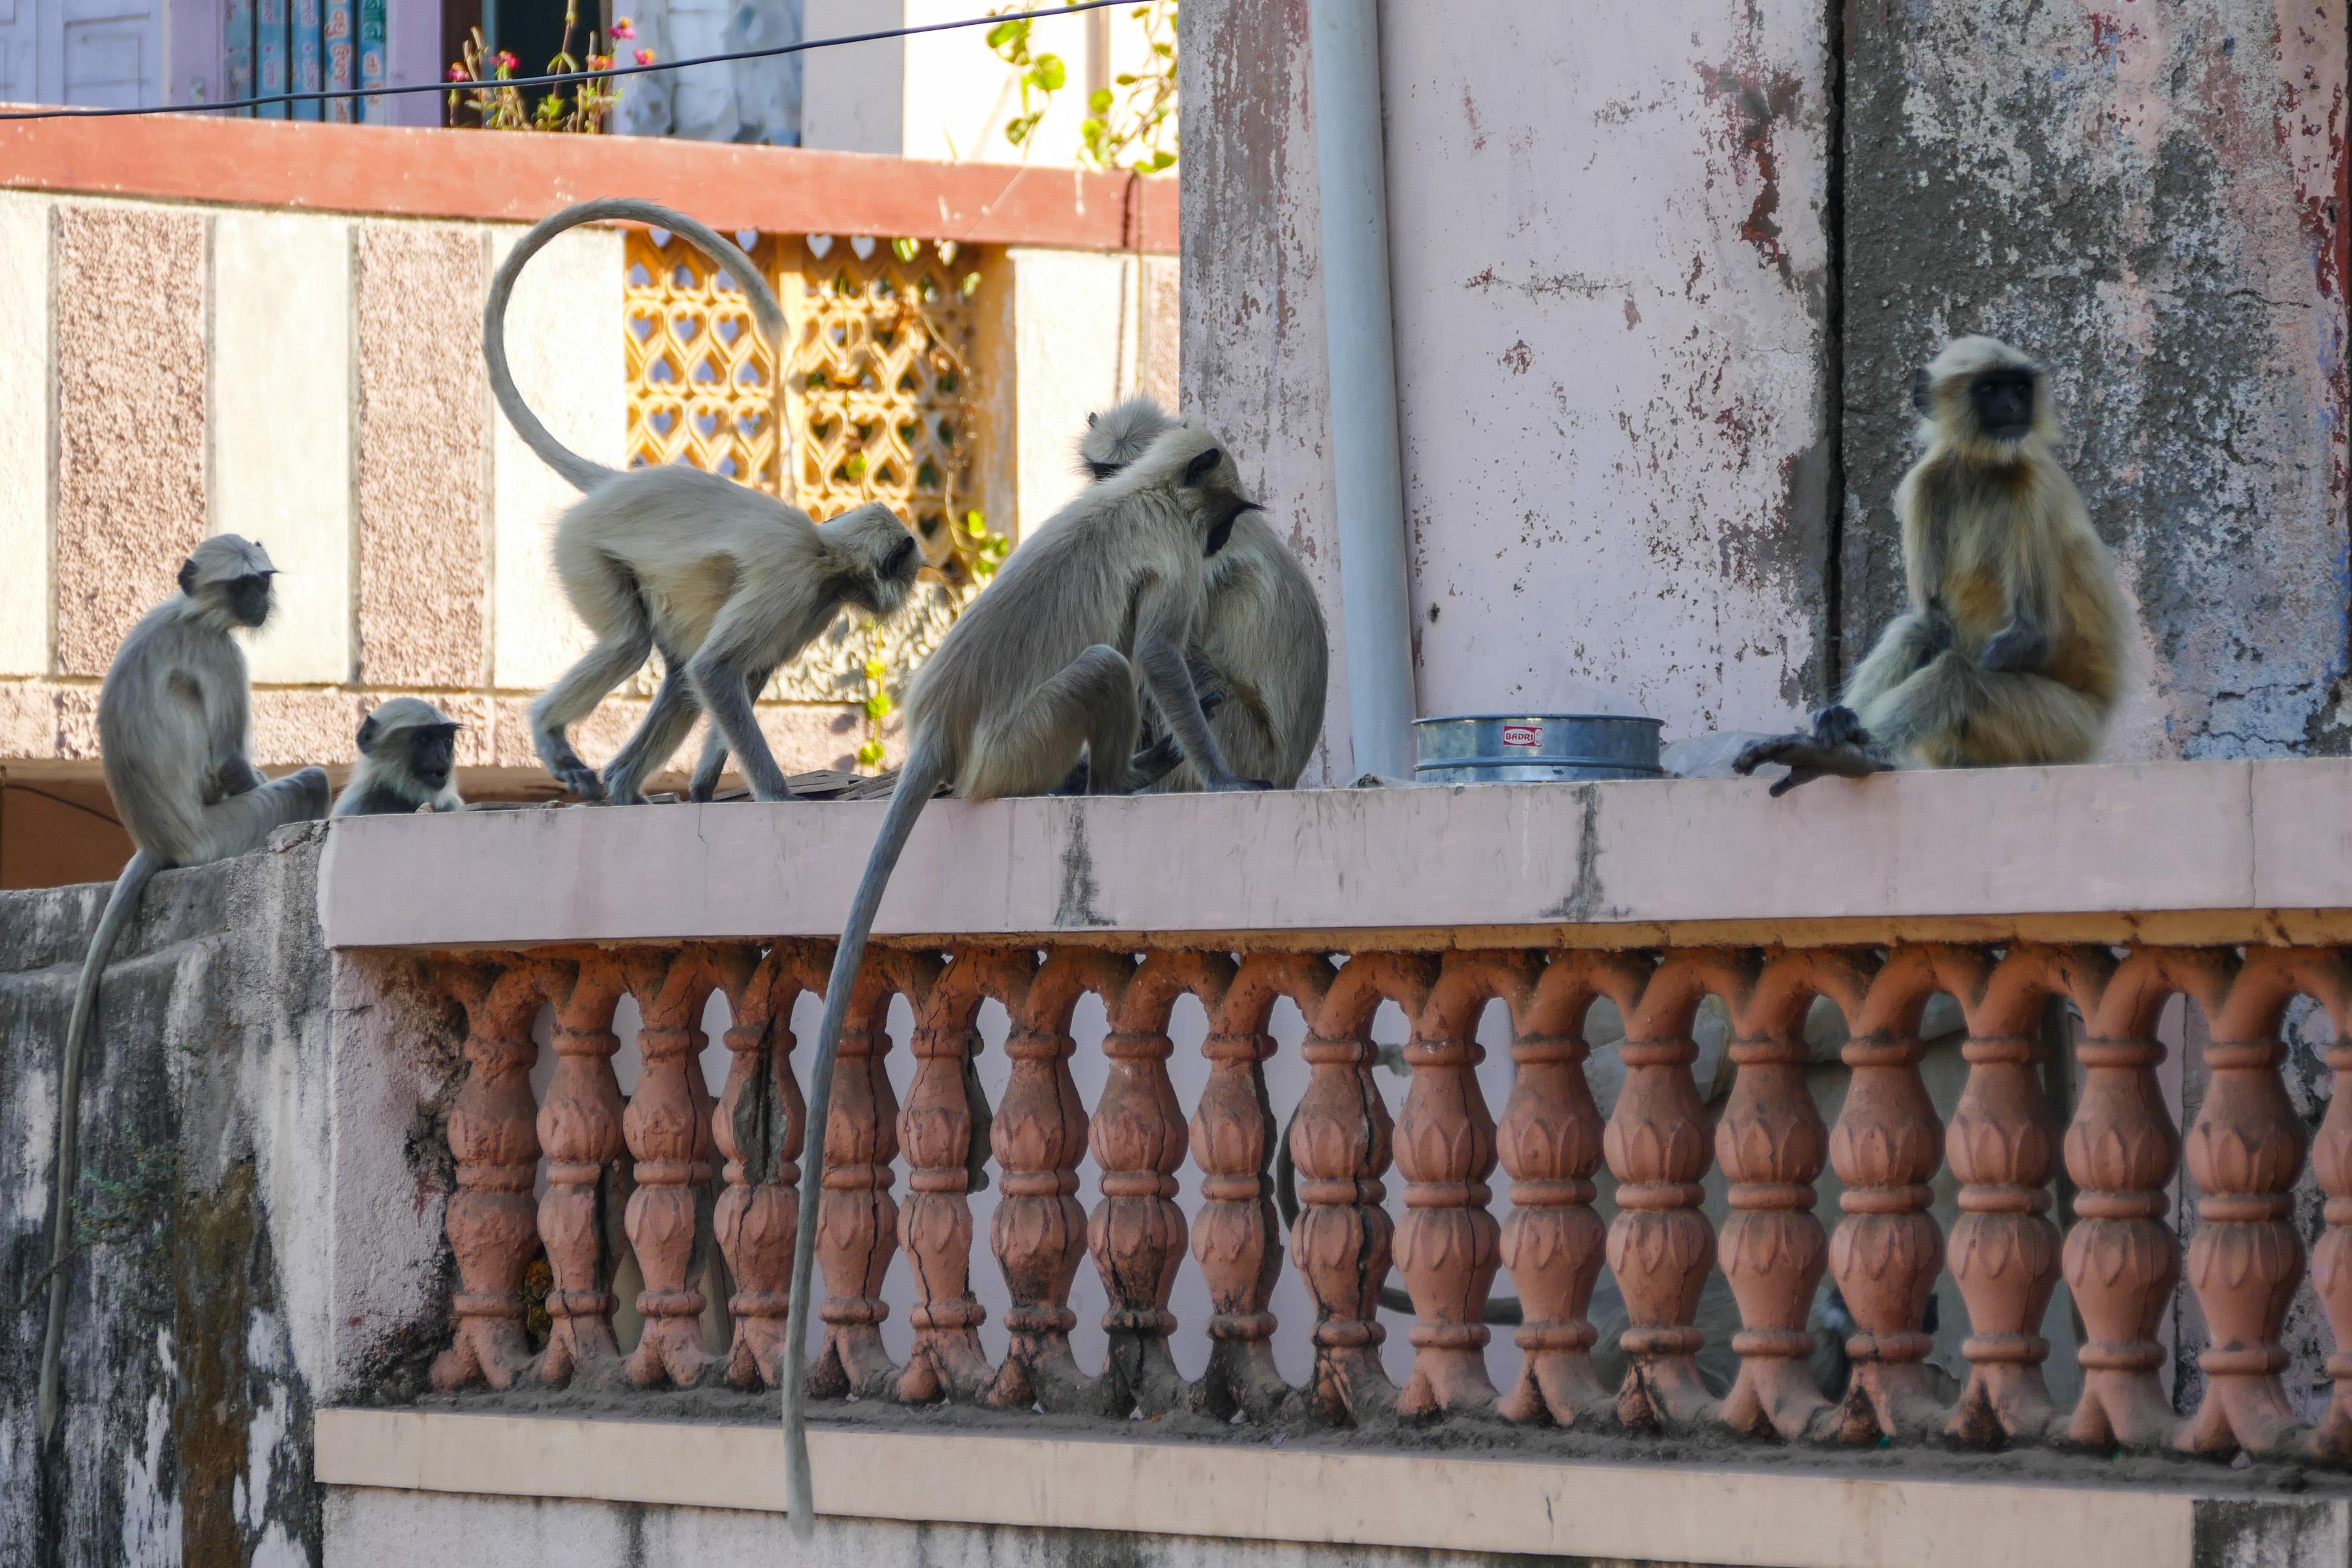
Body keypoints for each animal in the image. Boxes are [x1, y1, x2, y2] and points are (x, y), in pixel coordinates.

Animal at [36, 535, 331, 1439]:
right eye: (245, 587)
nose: (263, 605)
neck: (188, 612)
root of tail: (164, 844)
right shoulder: (222, 659)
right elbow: (232, 765)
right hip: (224, 834)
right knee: (300, 786)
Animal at [485, 197, 923, 805]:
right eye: (908, 574)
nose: (905, 596)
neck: (825, 549)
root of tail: (616, 483)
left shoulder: (817, 604)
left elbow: (742, 672)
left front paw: (702, 785)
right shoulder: (794, 580)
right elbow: (717, 671)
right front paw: (776, 796)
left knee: (675, 671)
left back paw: (624, 784)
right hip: (581, 548)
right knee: (631, 644)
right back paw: (553, 732)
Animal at [777, 420, 1272, 1535]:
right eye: (1224, 514)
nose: (1234, 531)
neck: (1147, 492)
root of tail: (941, 733)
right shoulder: (1174, 565)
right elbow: (1160, 655)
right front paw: (1221, 774)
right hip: (1023, 746)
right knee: (1107, 664)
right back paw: (1120, 778)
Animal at [1735, 337, 2126, 795]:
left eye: (2020, 387)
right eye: (1991, 389)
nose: (2014, 406)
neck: (1982, 467)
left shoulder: (2032, 489)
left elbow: (2030, 637)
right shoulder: (1927, 481)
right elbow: (1934, 622)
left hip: (2062, 728)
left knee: (1958, 676)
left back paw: (1844, 756)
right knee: (1920, 630)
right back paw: (1837, 731)